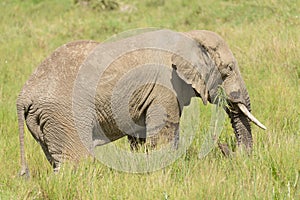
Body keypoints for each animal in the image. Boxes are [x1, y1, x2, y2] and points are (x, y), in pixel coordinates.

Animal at [17, 28, 264, 176]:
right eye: (229, 69)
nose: (223, 146)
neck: (188, 36)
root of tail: (24, 95)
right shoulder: (165, 86)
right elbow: (164, 134)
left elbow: (139, 136)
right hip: (65, 114)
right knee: (76, 161)